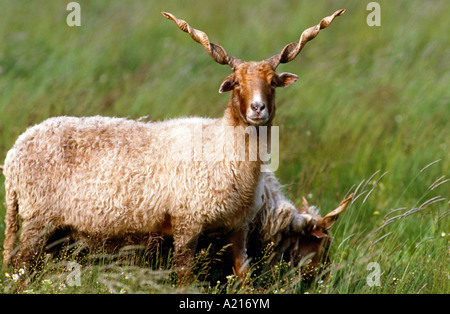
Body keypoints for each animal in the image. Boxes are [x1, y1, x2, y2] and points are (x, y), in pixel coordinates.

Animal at [2, 9, 344, 280]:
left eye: (273, 82)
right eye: (236, 83)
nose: (257, 109)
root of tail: (14, 153)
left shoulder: (237, 228)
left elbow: (243, 276)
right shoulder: (187, 223)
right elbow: (184, 276)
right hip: (38, 219)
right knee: (19, 268)